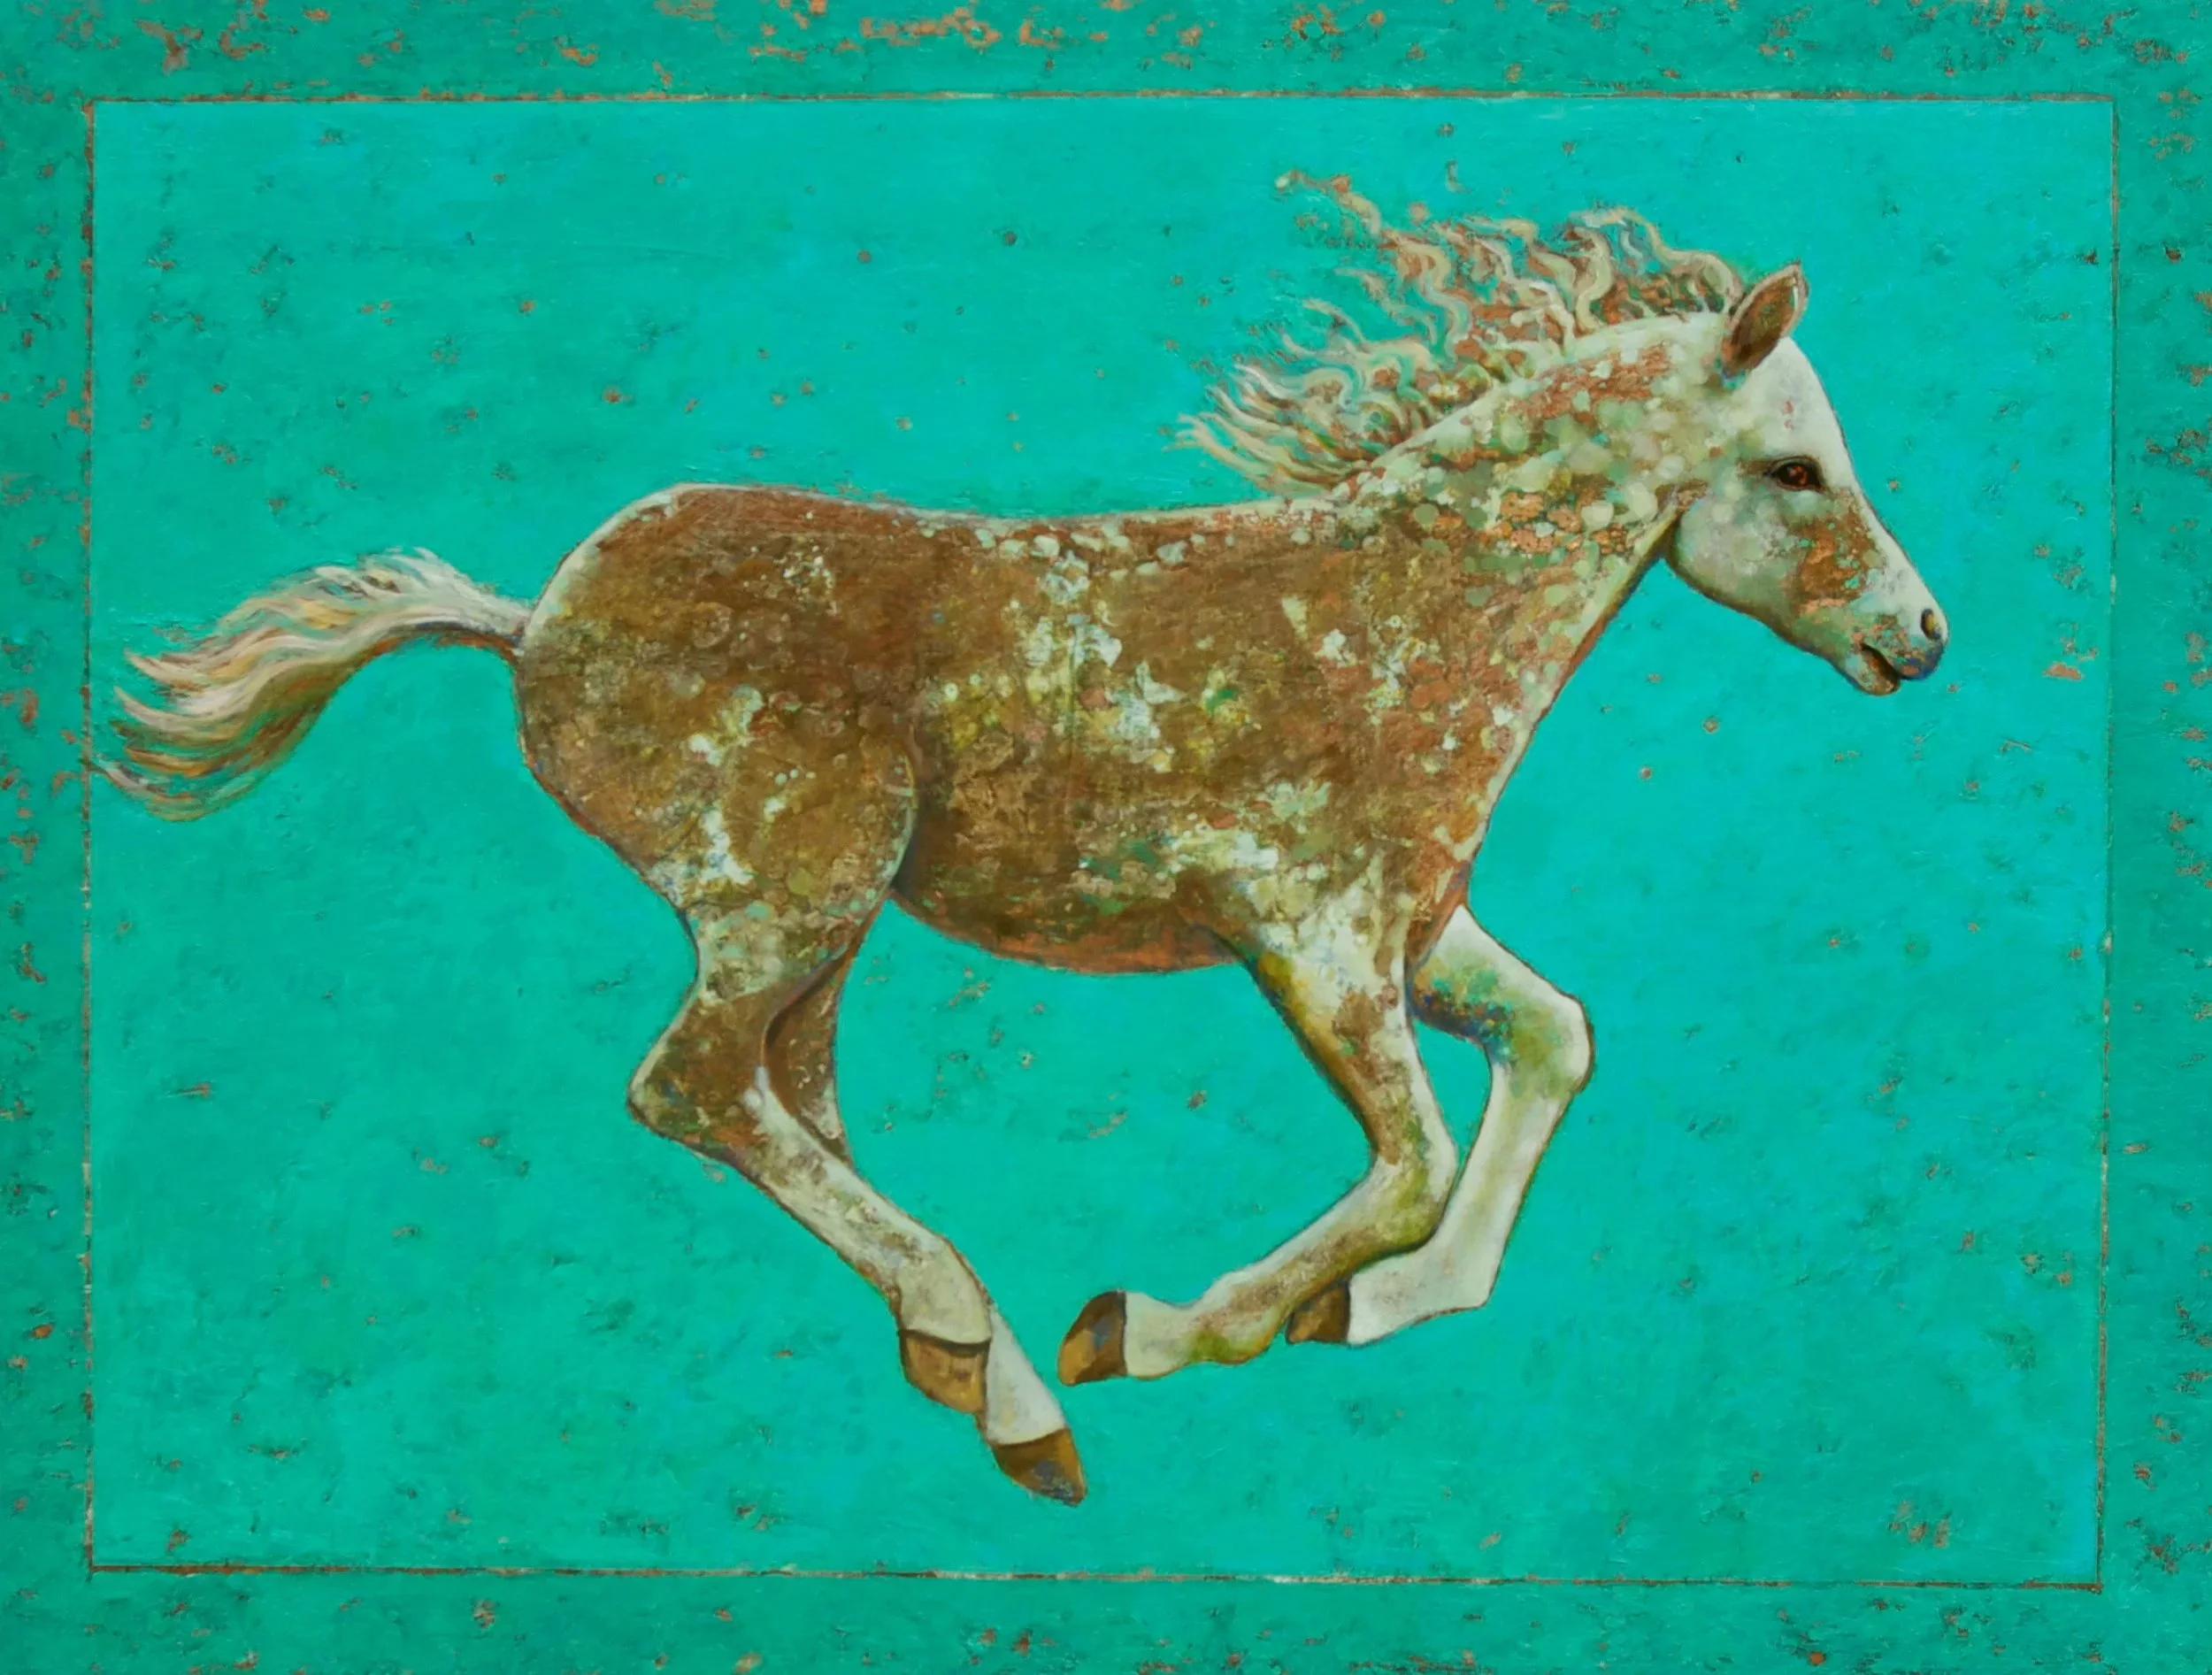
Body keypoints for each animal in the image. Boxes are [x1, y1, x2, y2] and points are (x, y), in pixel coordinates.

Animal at [105, 178, 1946, 1508]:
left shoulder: (1419, 930)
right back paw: (999, 1365)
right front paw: (1171, 1327)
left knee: (783, 1096)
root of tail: (528, 622)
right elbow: (1414, 1160)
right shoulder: (1312, 938)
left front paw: (1366, 1309)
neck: (1402, 622)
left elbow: (1552, 1045)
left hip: (819, 921)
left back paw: (978, 1367)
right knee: (695, 1084)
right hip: (794, 893)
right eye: (1797, 468)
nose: (1921, 636)